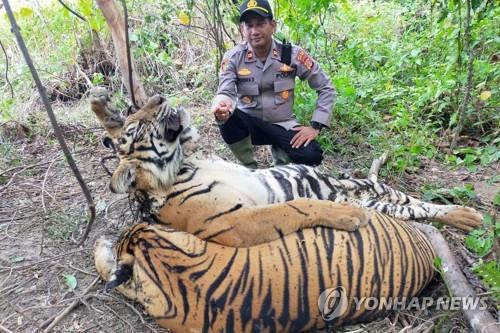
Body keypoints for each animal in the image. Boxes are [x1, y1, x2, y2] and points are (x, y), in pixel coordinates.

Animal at [88, 87, 482, 246]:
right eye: (137, 124)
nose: (157, 97)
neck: (185, 166)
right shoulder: (235, 221)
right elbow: (298, 205)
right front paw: (347, 217)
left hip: (377, 188)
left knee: (418, 201)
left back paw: (467, 214)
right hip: (378, 201)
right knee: (414, 209)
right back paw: (468, 218)